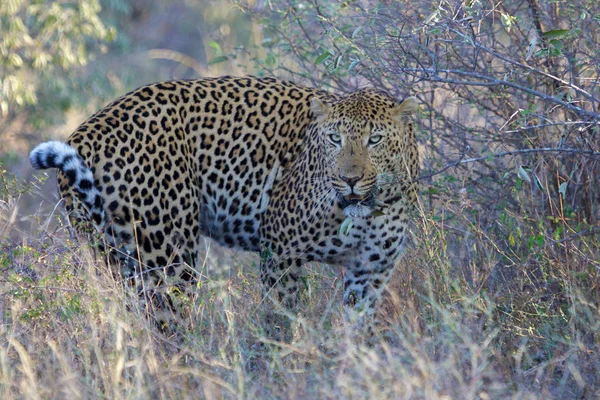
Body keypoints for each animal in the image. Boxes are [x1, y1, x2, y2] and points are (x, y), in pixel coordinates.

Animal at [29, 76, 422, 338]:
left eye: (375, 140)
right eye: (334, 139)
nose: (349, 179)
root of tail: (80, 134)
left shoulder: (370, 271)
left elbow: (359, 333)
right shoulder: (280, 252)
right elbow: (279, 320)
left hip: (121, 260)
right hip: (168, 258)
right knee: (168, 333)